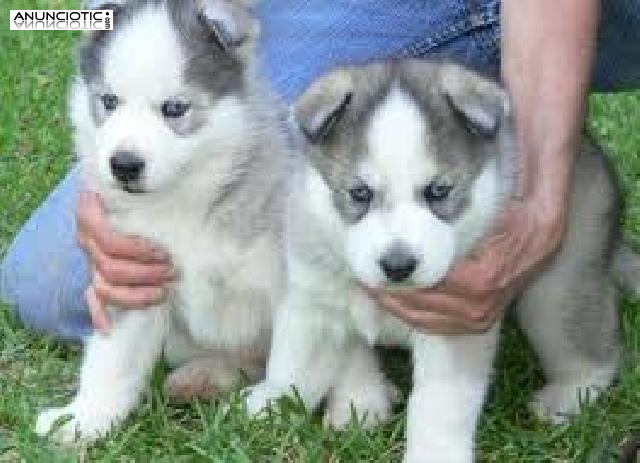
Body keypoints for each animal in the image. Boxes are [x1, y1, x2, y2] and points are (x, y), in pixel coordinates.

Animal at [35, 0, 284, 444]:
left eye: (174, 109)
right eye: (109, 101)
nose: (124, 165)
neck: (183, 204)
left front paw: (279, 405)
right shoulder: (135, 275)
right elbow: (110, 361)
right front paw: (82, 420)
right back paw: (203, 377)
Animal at [246, 60, 632, 463]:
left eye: (438, 192)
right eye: (360, 193)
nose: (398, 265)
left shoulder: (453, 325)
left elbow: (439, 406)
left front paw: (433, 454)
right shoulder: (315, 302)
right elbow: (295, 361)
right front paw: (284, 405)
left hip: (556, 290)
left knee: (593, 349)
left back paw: (568, 395)